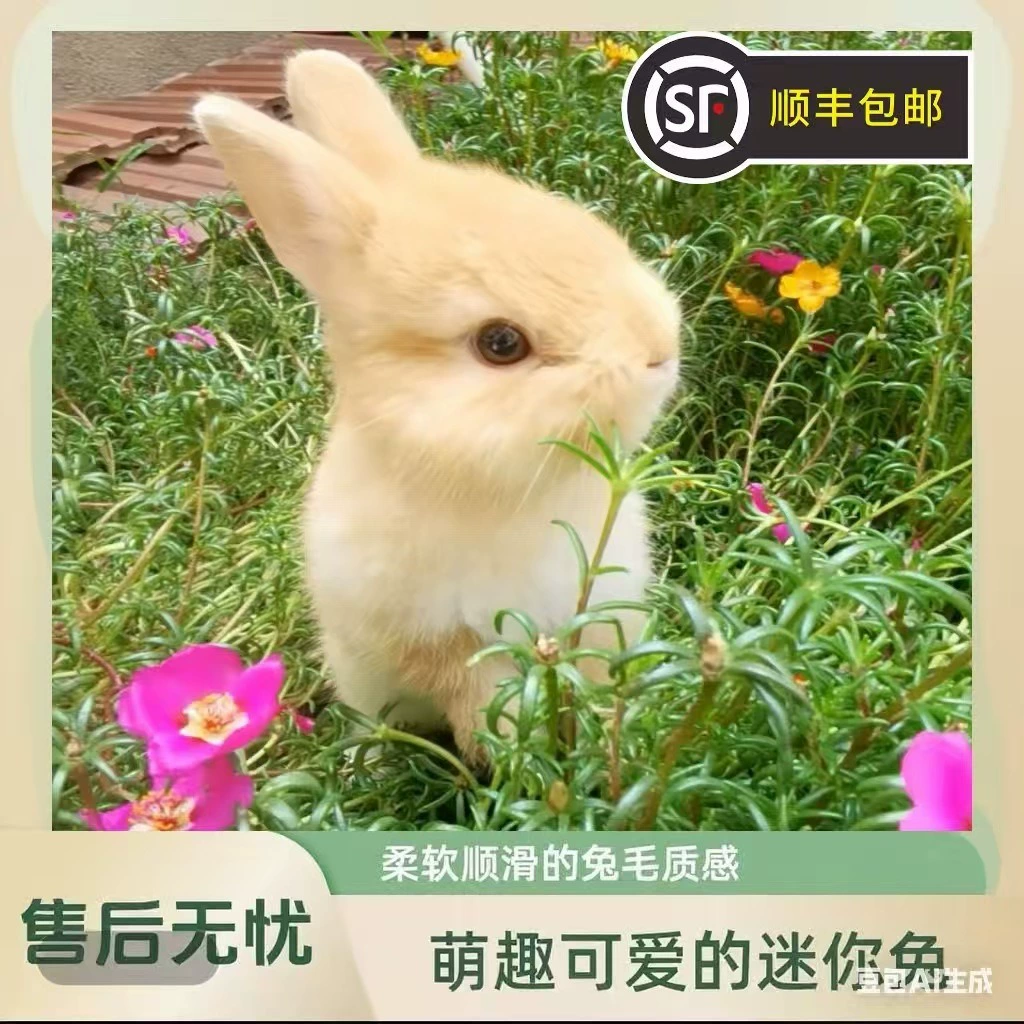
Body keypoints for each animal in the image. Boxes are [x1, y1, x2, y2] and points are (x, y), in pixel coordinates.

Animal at [194, 50, 681, 767]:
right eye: (500, 343)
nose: (659, 349)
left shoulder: (600, 615)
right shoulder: (440, 640)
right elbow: (481, 697)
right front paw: (519, 754)